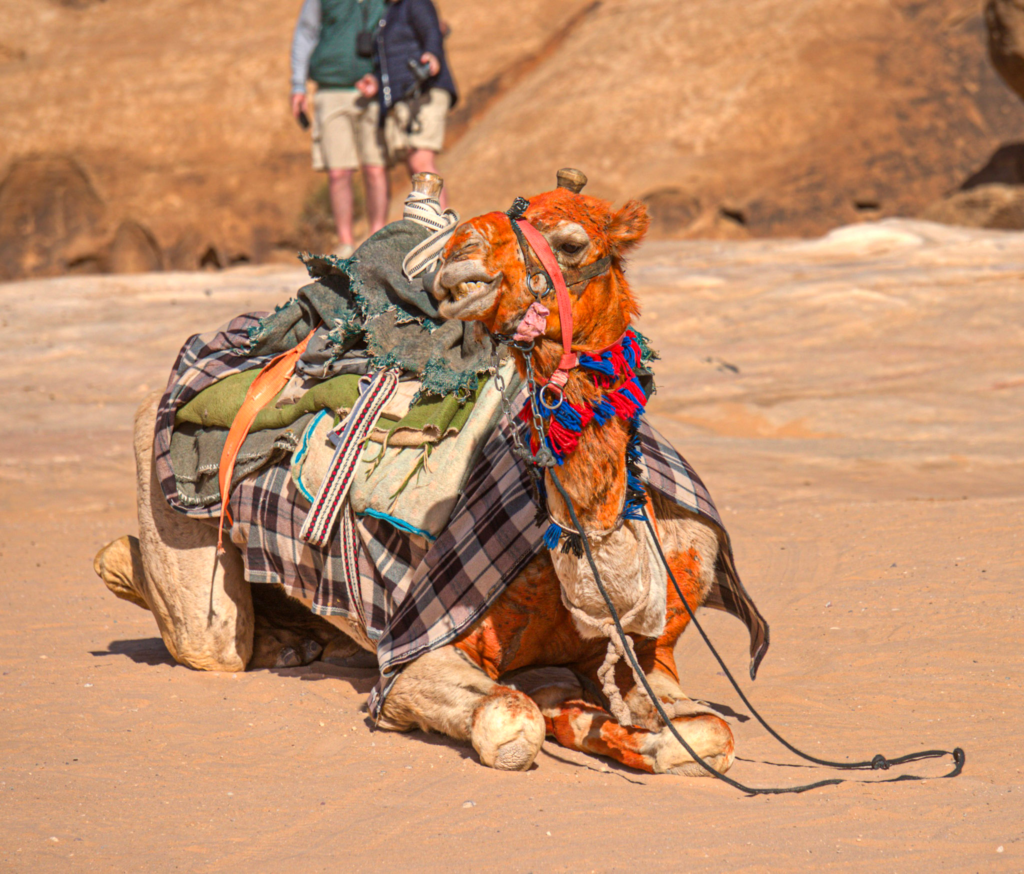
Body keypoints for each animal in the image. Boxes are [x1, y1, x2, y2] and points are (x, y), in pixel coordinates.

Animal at [95, 176, 741, 775]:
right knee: (207, 633)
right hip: (161, 475)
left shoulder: (652, 651)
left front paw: (593, 721)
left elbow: (707, 732)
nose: (460, 253)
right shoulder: (417, 650)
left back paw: (295, 641)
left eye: (571, 243)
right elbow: (510, 718)